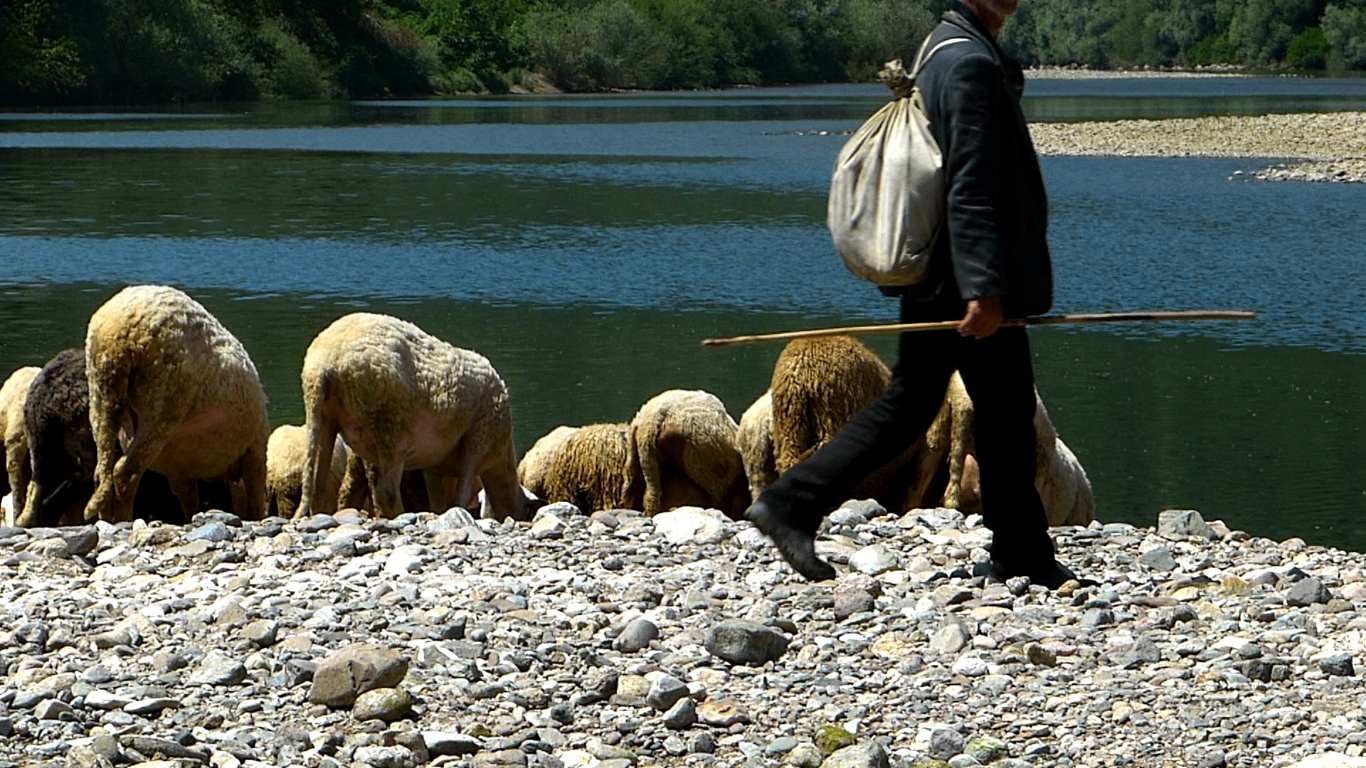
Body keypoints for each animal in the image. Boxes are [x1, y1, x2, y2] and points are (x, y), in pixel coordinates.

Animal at [84, 285, 270, 523]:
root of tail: (116, 336)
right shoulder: (255, 450)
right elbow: (255, 499)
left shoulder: (179, 471)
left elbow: (189, 501)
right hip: (164, 399)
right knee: (126, 470)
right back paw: (124, 520)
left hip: (101, 392)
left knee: (102, 472)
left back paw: (105, 520)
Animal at [298, 312, 525, 522]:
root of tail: (326, 362)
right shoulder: (478, 440)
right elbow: (462, 494)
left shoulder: (433, 465)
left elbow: (438, 501)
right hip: (391, 425)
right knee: (386, 492)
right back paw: (402, 515)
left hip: (324, 416)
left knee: (317, 486)